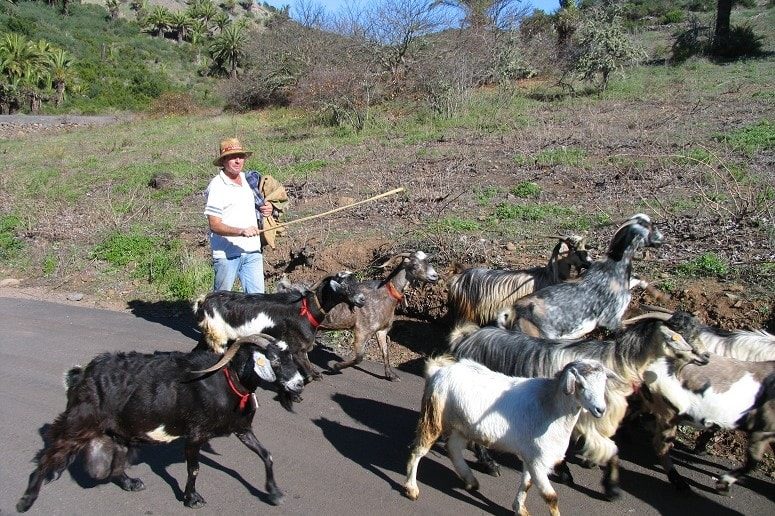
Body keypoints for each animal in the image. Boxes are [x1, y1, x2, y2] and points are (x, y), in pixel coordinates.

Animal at [15, 334, 304, 512]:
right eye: (273, 359)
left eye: (290, 356)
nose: (299, 383)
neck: (227, 380)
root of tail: (80, 375)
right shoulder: (195, 434)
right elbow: (194, 469)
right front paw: (191, 499)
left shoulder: (241, 429)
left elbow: (266, 455)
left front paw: (274, 493)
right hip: (79, 422)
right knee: (50, 454)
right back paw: (26, 500)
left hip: (119, 434)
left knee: (114, 465)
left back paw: (131, 483)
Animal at [192, 272, 366, 380]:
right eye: (344, 284)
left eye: (357, 282)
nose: (362, 299)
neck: (307, 309)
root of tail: (203, 301)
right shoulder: (297, 349)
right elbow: (312, 373)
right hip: (219, 337)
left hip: (209, 335)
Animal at [406, 354, 612, 516]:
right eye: (581, 385)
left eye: (603, 384)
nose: (600, 410)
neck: (550, 407)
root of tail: (437, 371)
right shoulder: (538, 460)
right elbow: (550, 496)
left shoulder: (530, 456)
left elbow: (527, 484)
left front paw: (520, 509)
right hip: (433, 416)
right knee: (418, 451)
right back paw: (411, 489)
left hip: (463, 426)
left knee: (453, 448)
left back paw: (470, 480)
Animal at [446, 235, 592, 324]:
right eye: (574, 249)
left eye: (584, 248)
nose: (590, 263)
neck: (550, 275)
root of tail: (459, 276)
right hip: (467, 314)